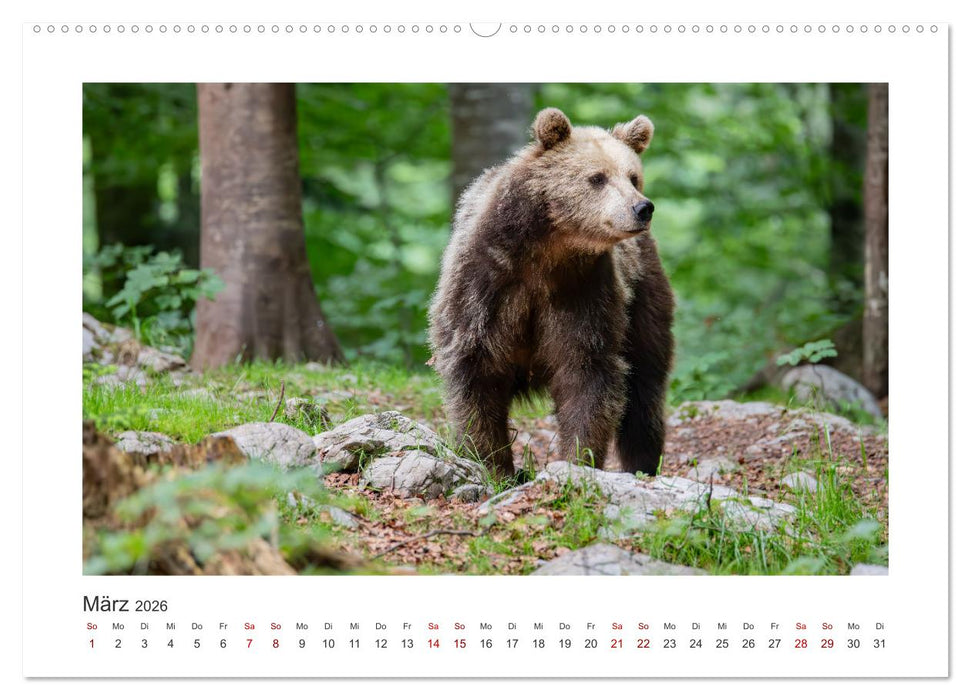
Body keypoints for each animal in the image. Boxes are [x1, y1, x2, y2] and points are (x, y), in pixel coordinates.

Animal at [429, 107, 674, 477]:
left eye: (633, 177)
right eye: (597, 178)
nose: (642, 208)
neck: (547, 251)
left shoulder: (582, 292)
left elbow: (587, 372)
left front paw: (578, 459)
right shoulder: (486, 286)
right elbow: (476, 371)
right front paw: (492, 464)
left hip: (643, 299)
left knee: (644, 383)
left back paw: (642, 464)